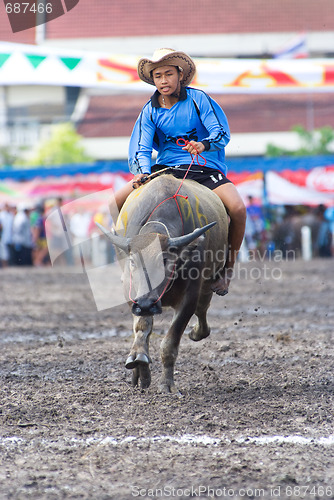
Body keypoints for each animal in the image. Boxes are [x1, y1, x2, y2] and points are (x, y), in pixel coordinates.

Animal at [97, 174, 227, 392]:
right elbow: (142, 328)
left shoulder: (189, 297)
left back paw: (197, 332)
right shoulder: (133, 295)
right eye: (133, 261)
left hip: (209, 282)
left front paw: (167, 384)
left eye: (165, 260)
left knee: (203, 309)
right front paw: (139, 362)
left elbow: (170, 342)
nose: (146, 304)